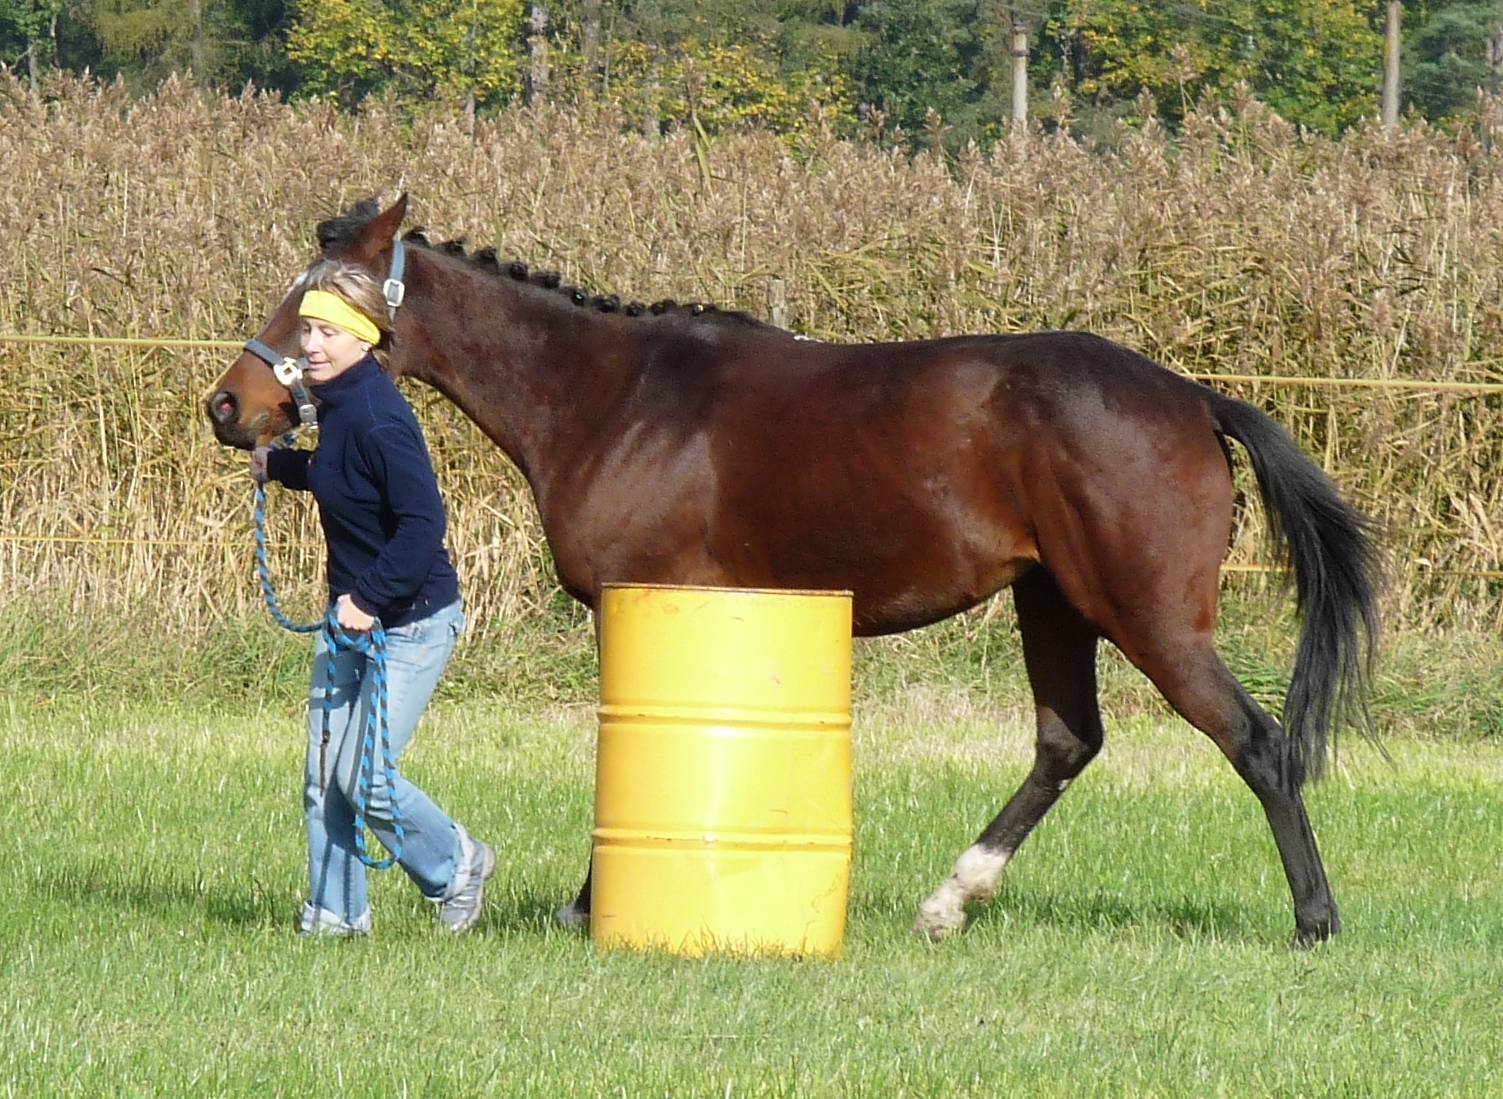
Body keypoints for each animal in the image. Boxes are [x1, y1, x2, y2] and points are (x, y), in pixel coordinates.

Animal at [205, 195, 1376, 944]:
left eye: (311, 305)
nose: (232, 406)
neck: (611, 397)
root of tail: (1192, 398)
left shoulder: (640, 602)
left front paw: (589, 903)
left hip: (1146, 615)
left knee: (1257, 744)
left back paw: (1315, 920)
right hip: (1052, 603)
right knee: (1066, 742)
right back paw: (949, 901)